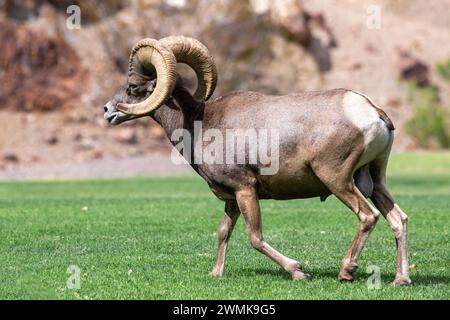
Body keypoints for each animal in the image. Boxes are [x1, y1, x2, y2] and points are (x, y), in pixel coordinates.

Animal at [103, 37, 412, 284]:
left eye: (132, 87)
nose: (107, 111)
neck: (200, 123)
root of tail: (371, 112)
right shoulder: (231, 198)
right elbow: (223, 232)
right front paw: (215, 274)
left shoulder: (245, 189)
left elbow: (255, 238)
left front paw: (298, 271)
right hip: (374, 180)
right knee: (398, 219)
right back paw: (401, 279)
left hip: (337, 179)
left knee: (368, 216)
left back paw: (346, 271)